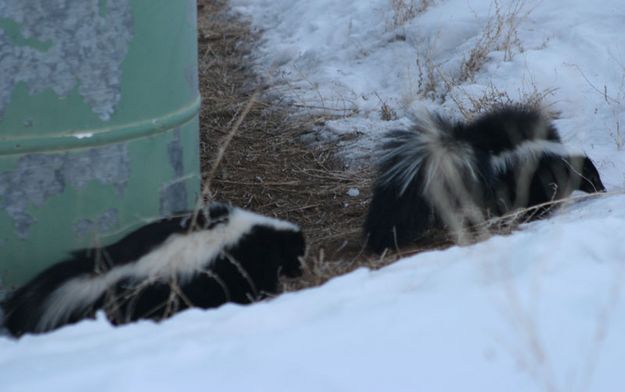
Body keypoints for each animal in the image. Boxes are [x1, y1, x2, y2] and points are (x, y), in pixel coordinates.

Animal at [2, 202, 304, 336]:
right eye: (297, 255)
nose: (300, 272)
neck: (263, 233)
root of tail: (112, 266)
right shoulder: (240, 262)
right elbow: (251, 286)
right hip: (155, 293)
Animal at [366, 105, 604, 251]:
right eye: (591, 176)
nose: (602, 189)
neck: (557, 157)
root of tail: (467, 143)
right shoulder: (535, 175)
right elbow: (540, 198)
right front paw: (540, 213)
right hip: (494, 178)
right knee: (494, 202)